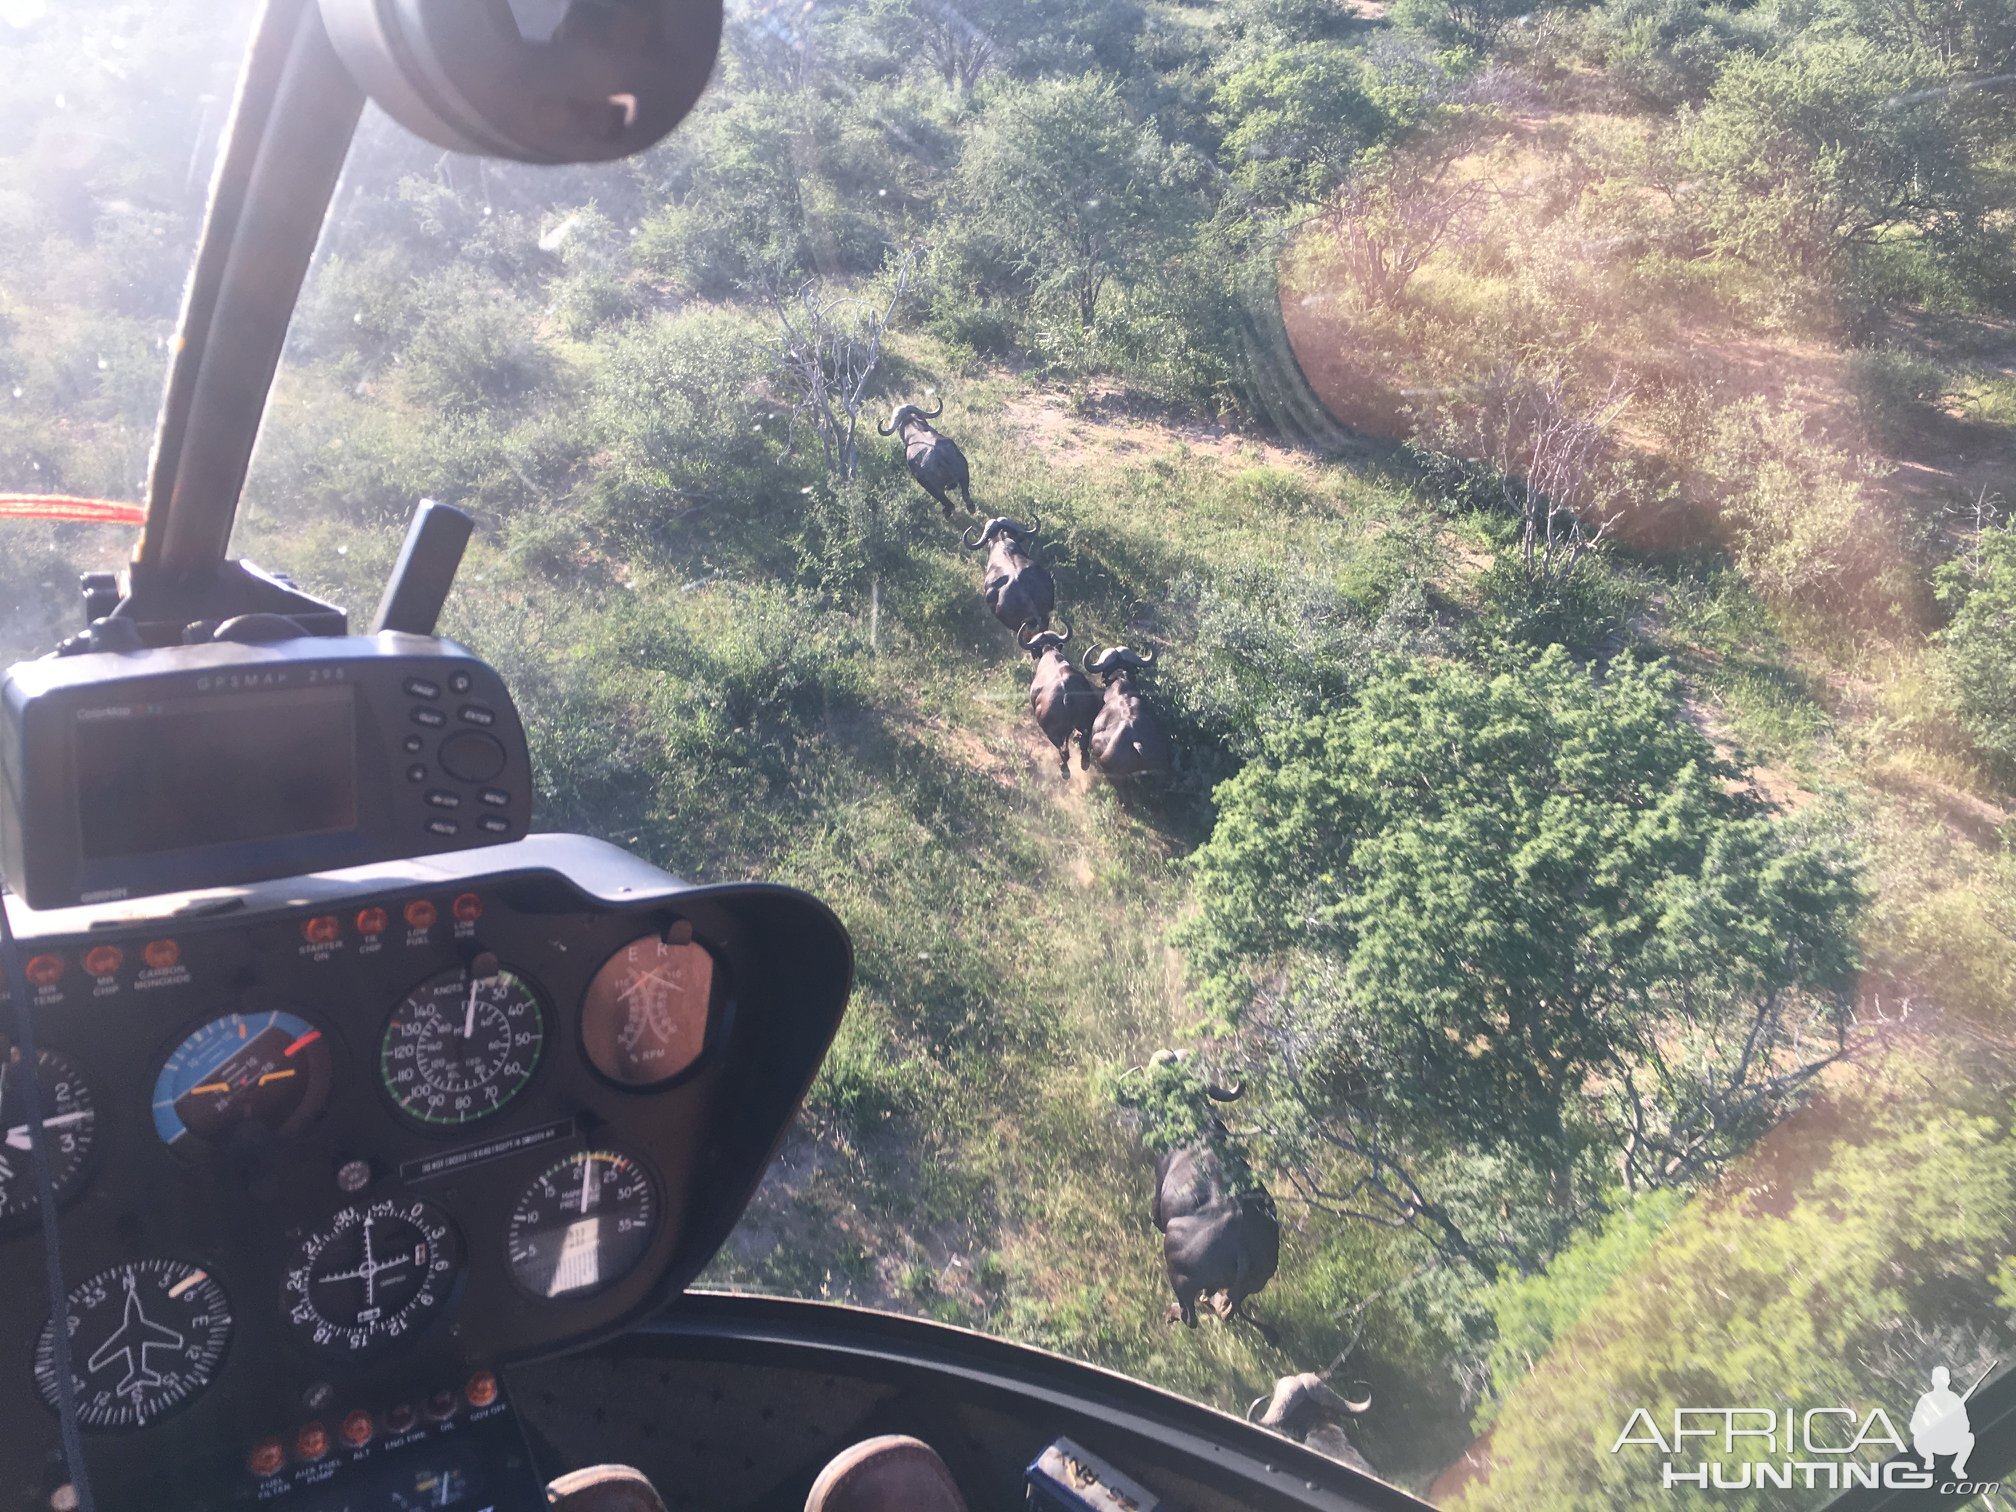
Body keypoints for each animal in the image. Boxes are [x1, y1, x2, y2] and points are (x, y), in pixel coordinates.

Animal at [1016, 616, 1096, 782]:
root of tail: (1066, 697)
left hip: (1050, 732)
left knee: (1063, 751)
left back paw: (1065, 771)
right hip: (1087, 721)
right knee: (1084, 741)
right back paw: (1084, 762)